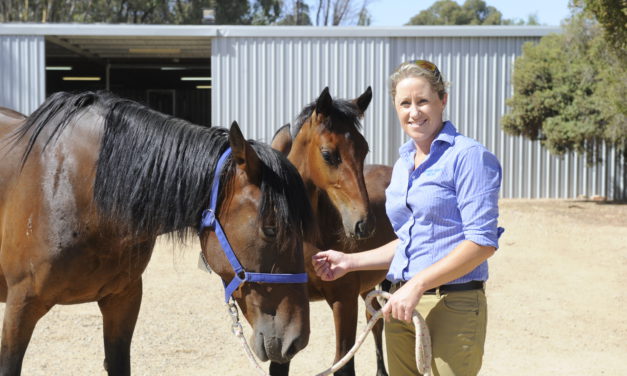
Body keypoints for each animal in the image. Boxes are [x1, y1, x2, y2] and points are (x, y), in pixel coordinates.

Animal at [270, 88, 398, 376]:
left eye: (364, 149)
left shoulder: (344, 301)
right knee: (376, 320)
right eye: (328, 154)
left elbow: (343, 363)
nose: (364, 224)